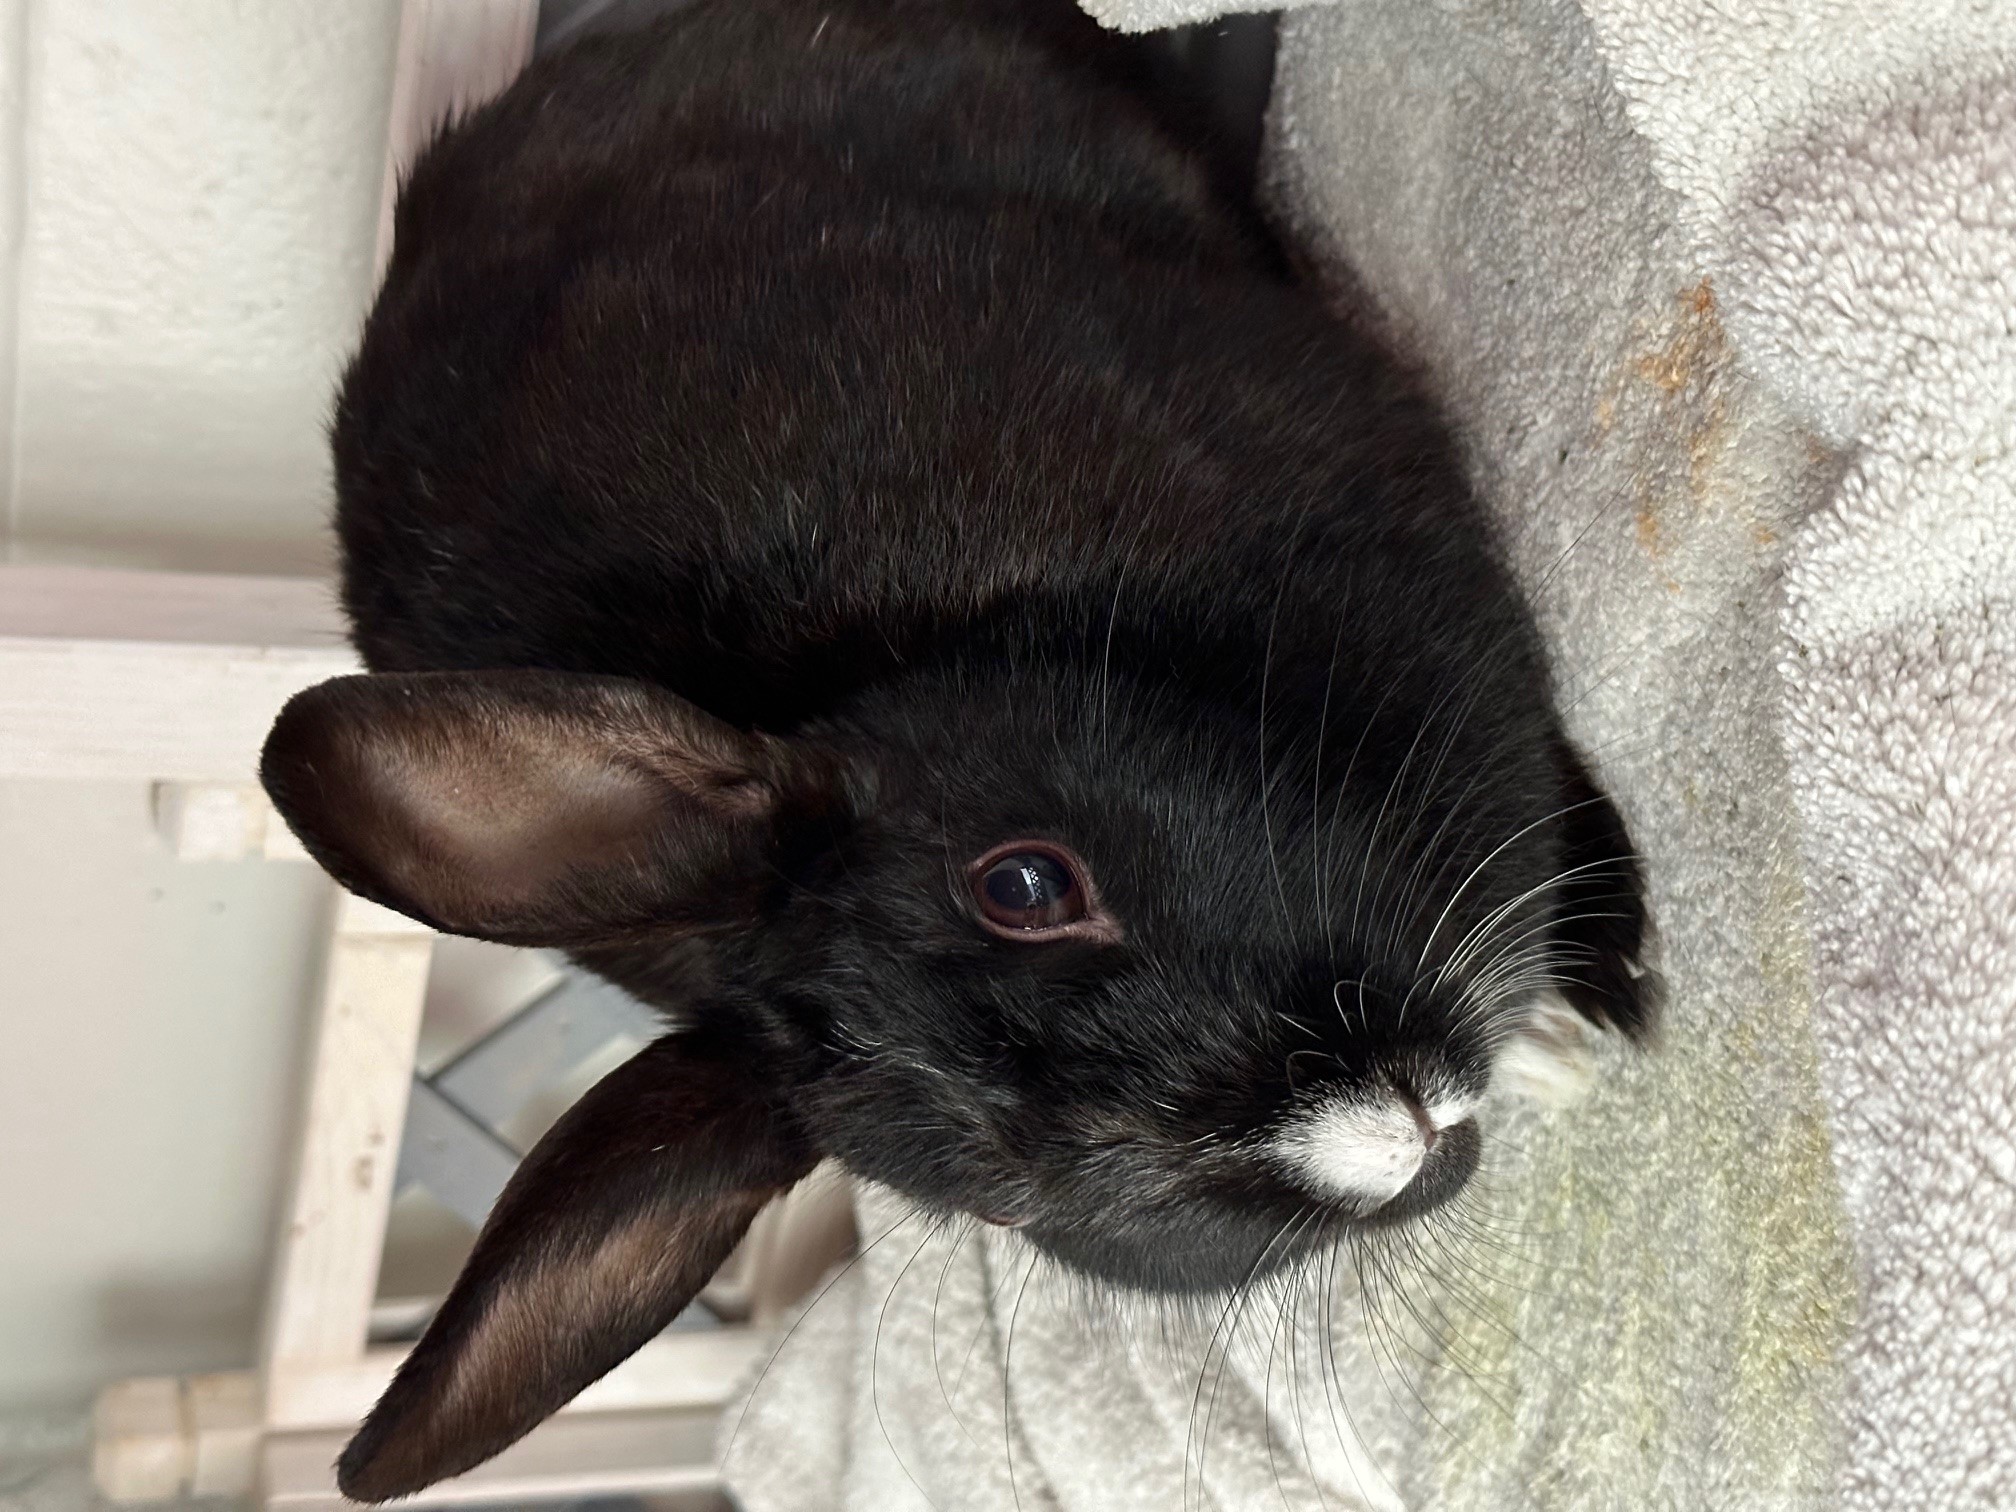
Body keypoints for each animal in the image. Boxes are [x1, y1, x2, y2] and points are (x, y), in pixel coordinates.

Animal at [258, 0, 1658, 1499]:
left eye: (1023, 882)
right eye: (1003, 1187)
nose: (1385, 1144)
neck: (942, 648)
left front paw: (1590, 1002)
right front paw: (1559, 1044)